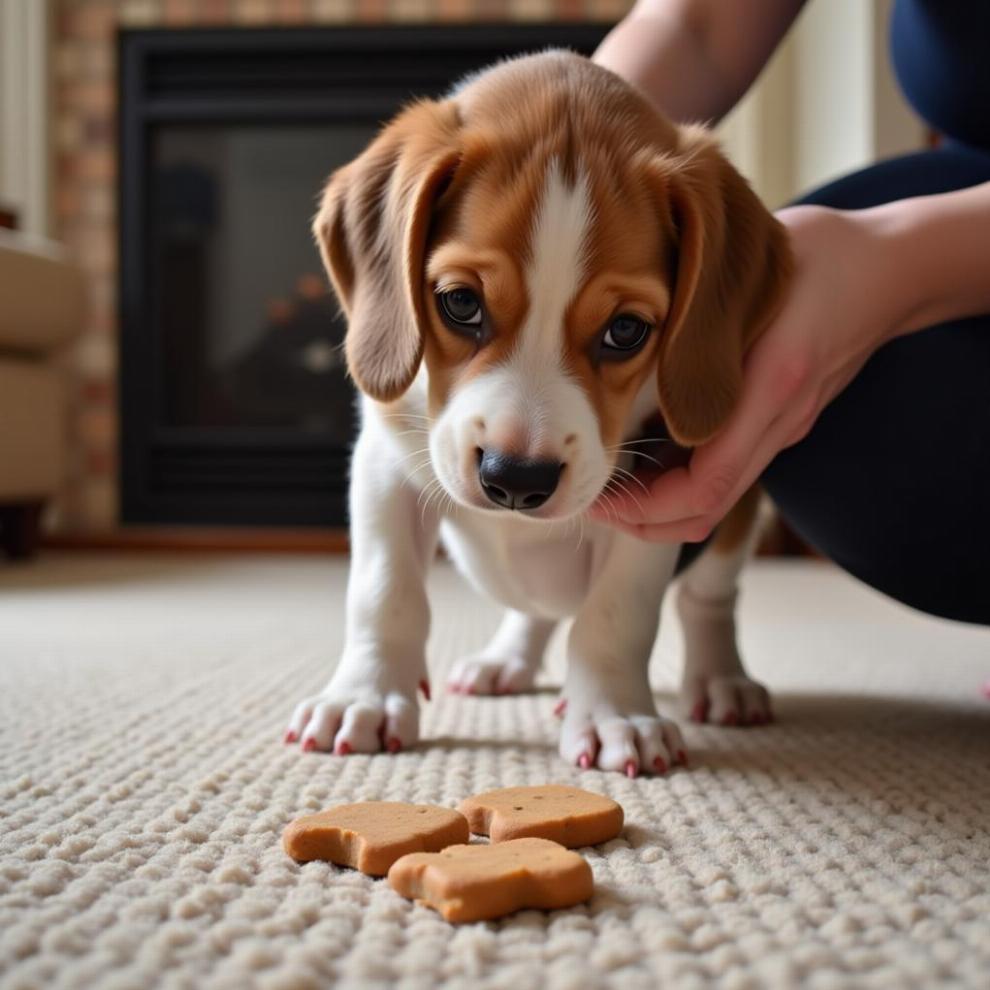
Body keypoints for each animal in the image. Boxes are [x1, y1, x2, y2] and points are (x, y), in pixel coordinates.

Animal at [282, 50, 796, 776]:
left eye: (626, 331)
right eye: (461, 303)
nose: (517, 481)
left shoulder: (659, 503)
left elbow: (615, 617)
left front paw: (614, 715)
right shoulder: (385, 467)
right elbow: (385, 593)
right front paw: (365, 697)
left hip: (736, 515)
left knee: (709, 600)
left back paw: (724, 681)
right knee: (538, 609)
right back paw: (506, 661)